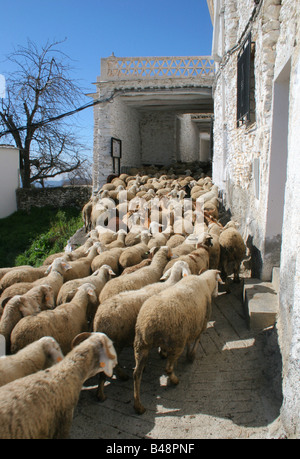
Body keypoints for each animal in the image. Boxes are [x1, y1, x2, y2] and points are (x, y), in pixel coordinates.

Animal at [134, 268, 220, 416]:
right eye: (218, 281)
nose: (216, 294)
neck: (205, 282)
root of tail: (148, 323)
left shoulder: (190, 325)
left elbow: (190, 342)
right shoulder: (201, 323)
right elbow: (197, 340)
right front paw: (191, 356)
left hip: (141, 345)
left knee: (136, 374)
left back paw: (138, 406)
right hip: (176, 342)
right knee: (168, 368)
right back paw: (174, 380)